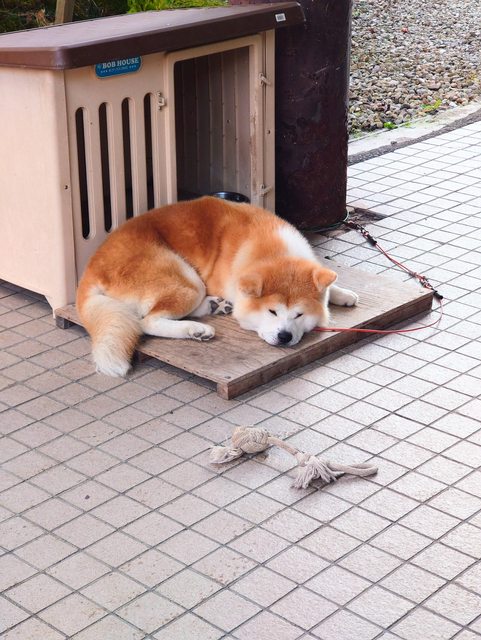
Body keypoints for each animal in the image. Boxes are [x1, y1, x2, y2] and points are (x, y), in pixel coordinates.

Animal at [77, 197, 358, 376]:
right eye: (272, 312)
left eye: (299, 315)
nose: (285, 336)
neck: (273, 251)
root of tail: (91, 267)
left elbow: (329, 283)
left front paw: (343, 294)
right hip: (187, 279)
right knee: (148, 322)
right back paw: (197, 329)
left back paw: (214, 306)